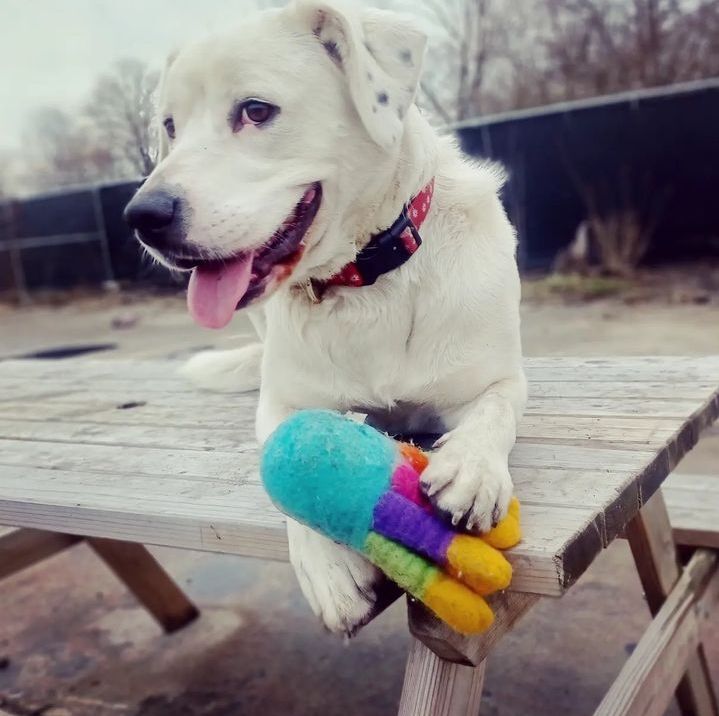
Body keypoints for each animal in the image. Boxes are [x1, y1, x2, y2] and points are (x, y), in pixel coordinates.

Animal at [126, 0, 524, 636]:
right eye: (170, 127)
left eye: (256, 110)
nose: (142, 216)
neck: (364, 280)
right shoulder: (283, 403)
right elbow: (282, 454)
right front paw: (329, 568)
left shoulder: (497, 380)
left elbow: (494, 409)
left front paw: (471, 467)